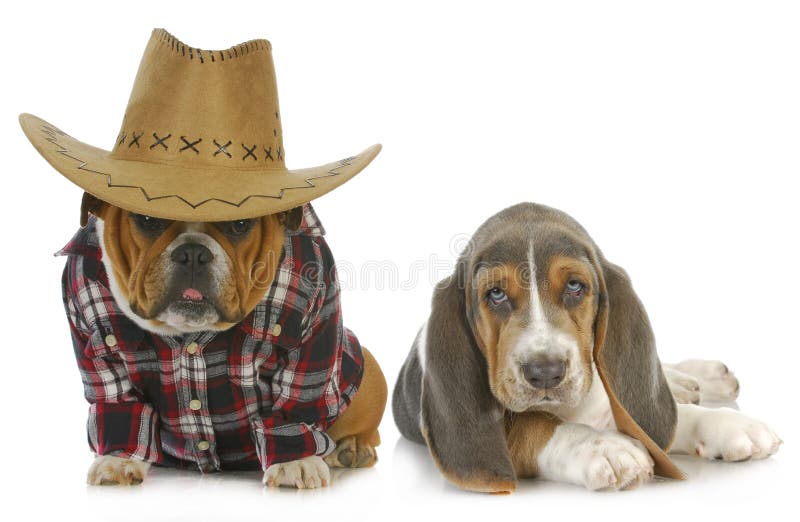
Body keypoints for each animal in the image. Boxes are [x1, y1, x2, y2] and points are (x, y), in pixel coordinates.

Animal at [394, 202, 780, 492]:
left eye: (575, 286)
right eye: (496, 294)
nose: (545, 372)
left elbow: (663, 418)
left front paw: (729, 425)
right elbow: (534, 425)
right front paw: (602, 446)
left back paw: (697, 379)